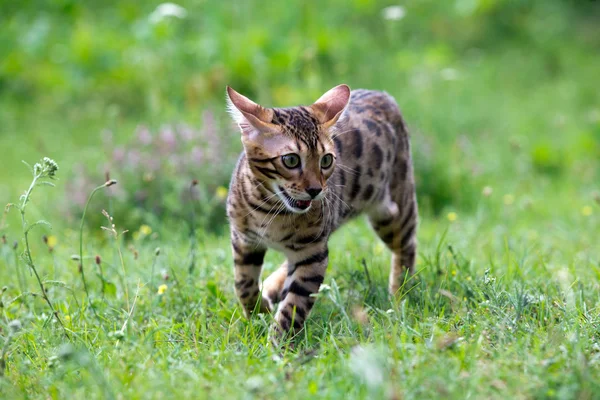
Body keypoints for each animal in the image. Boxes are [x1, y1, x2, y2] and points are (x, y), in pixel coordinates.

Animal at [225, 85, 418, 344]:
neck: (271, 210)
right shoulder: (244, 240)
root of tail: (380, 93)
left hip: (392, 209)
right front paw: (259, 311)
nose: (315, 190)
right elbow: (243, 284)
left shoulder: (313, 254)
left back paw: (400, 294)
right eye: (290, 160)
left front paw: (277, 345)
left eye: (326, 160)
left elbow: (293, 306)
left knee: (407, 245)